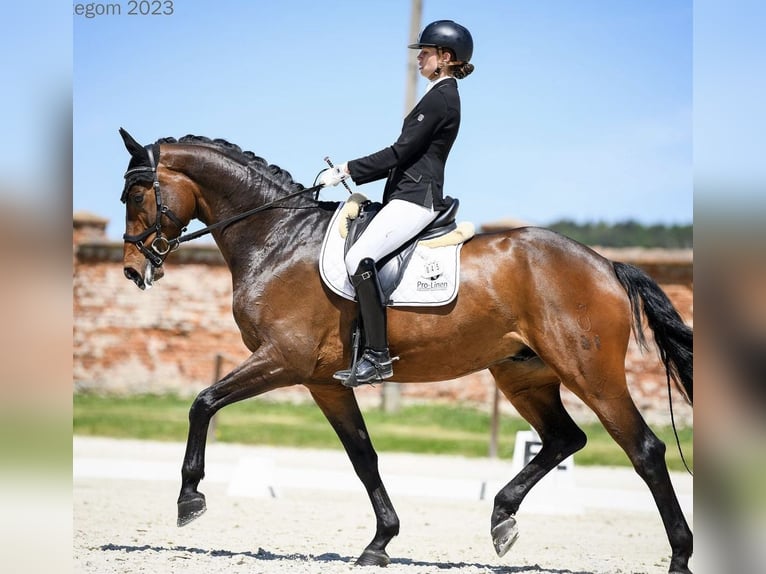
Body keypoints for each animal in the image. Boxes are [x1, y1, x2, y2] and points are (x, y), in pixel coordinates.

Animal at [115, 128, 696, 572]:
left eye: (136, 196)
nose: (133, 270)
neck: (278, 239)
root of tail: (606, 265)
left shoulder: (282, 359)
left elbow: (203, 402)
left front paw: (190, 498)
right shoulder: (323, 381)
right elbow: (363, 456)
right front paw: (379, 542)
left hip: (588, 371)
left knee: (644, 451)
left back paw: (679, 557)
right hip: (521, 374)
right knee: (562, 438)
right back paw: (502, 519)